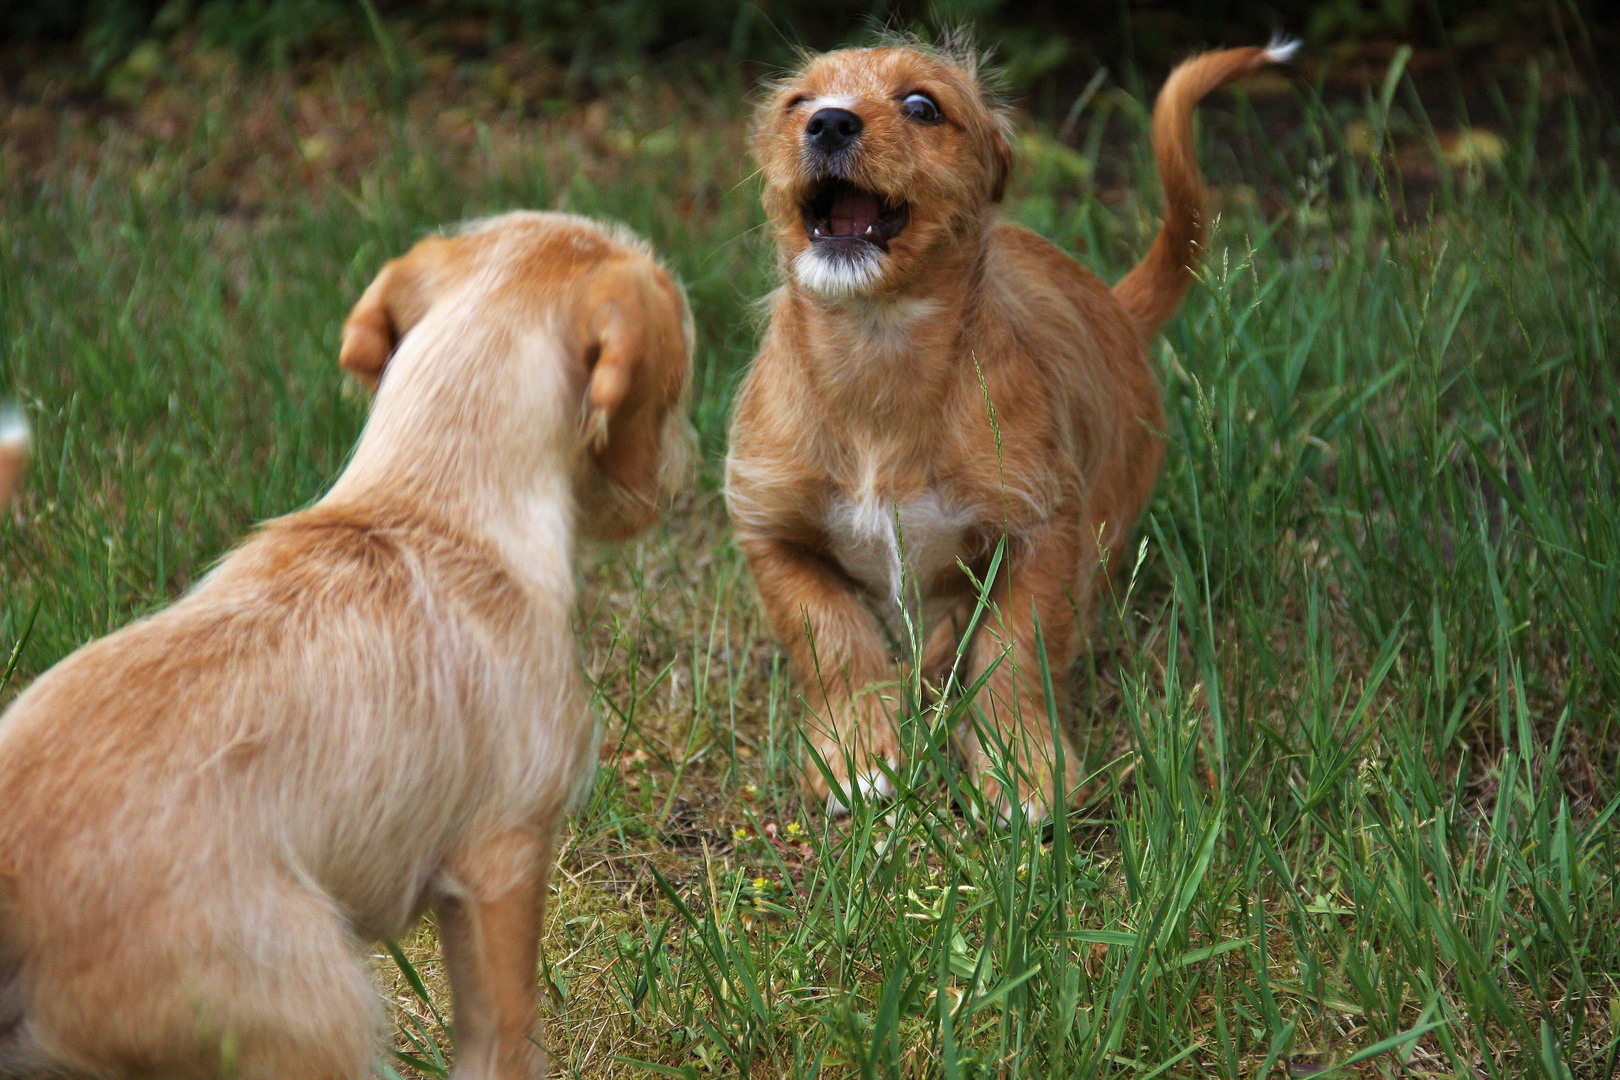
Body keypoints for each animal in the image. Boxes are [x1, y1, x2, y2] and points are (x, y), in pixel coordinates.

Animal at [729, 40, 1296, 819]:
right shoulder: (771, 530)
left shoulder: (1043, 532)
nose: (829, 123)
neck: (879, 349)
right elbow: (830, 634)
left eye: (921, 106)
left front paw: (1019, 766)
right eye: (796, 104)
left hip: (1103, 527)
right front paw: (857, 749)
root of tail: (1112, 306)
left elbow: (1014, 649)